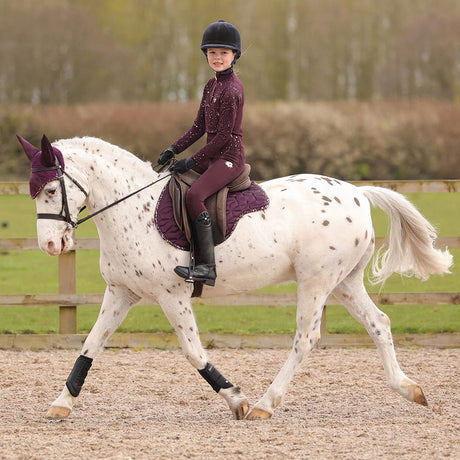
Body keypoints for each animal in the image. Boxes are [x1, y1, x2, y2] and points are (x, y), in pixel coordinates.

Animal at [18, 134, 452, 420]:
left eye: (52, 189)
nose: (51, 245)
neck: (133, 210)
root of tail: (358, 194)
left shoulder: (171, 295)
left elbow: (193, 352)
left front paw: (236, 399)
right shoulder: (121, 292)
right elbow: (90, 345)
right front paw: (61, 403)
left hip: (316, 281)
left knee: (306, 338)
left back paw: (264, 404)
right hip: (344, 282)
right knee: (379, 323)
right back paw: (409, 389)